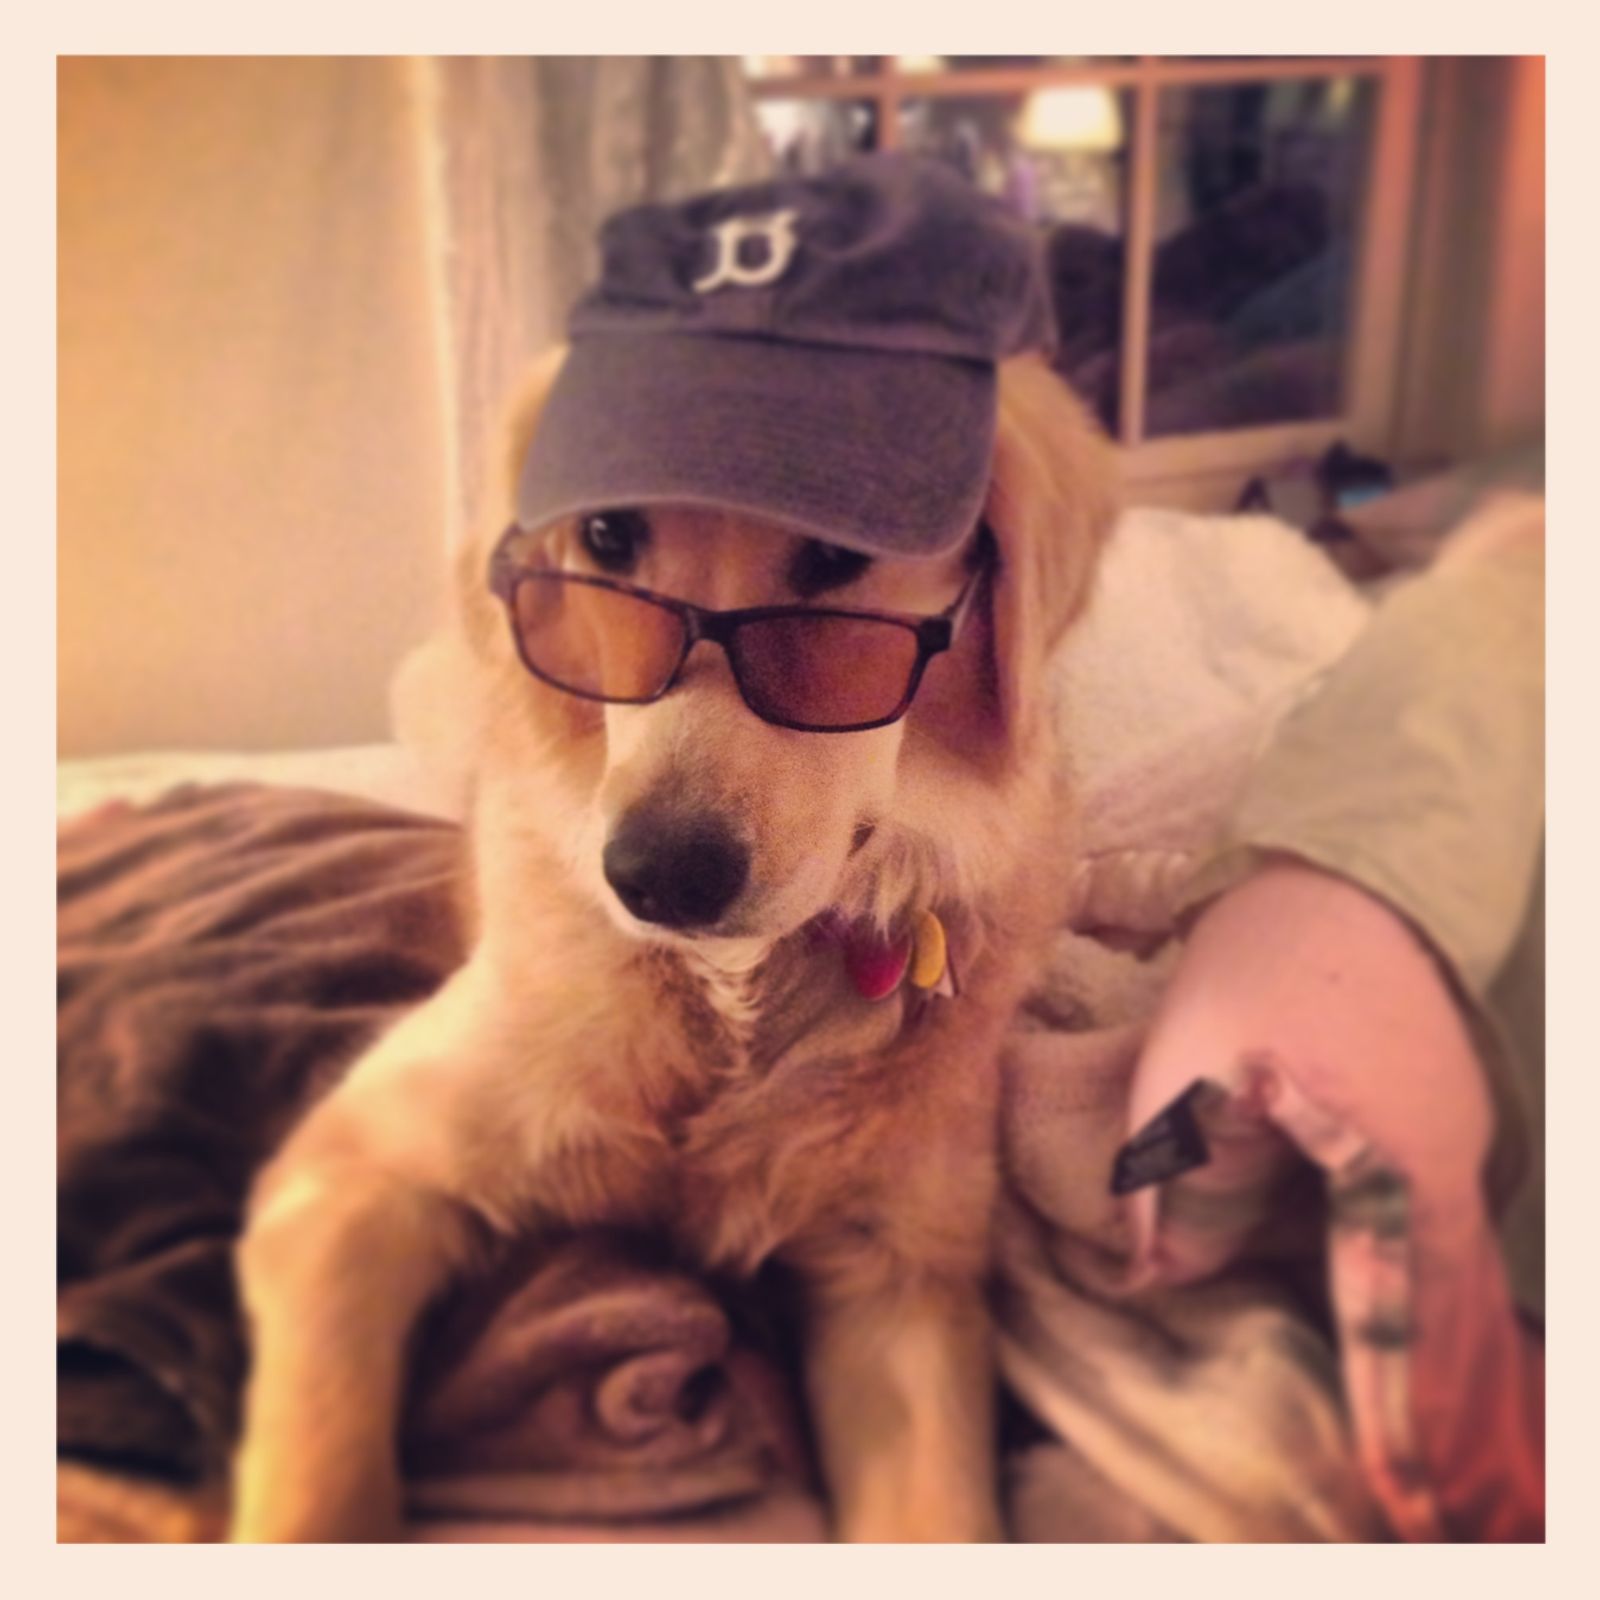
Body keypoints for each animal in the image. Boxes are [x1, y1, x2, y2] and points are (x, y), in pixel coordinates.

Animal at [228, 157, 1117, 1543]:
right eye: (605, 542)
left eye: (838, 563)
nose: (656, 879)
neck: (733, 1007)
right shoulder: (350, 1173)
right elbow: (316, 1476)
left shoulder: (901, 1279)